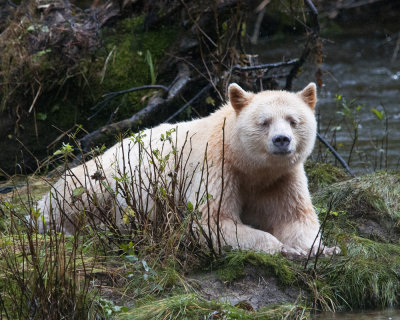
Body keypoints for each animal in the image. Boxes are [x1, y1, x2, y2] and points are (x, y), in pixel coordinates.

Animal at [37, 83, 340, 258]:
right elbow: (213, 221)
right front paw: (284, 249)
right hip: (100, 180)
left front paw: (322, 249)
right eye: (264, 122)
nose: (281, 140)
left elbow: (296, 218)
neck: (248, 164)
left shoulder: (281, 179)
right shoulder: (216, 168)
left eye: (293, 120)